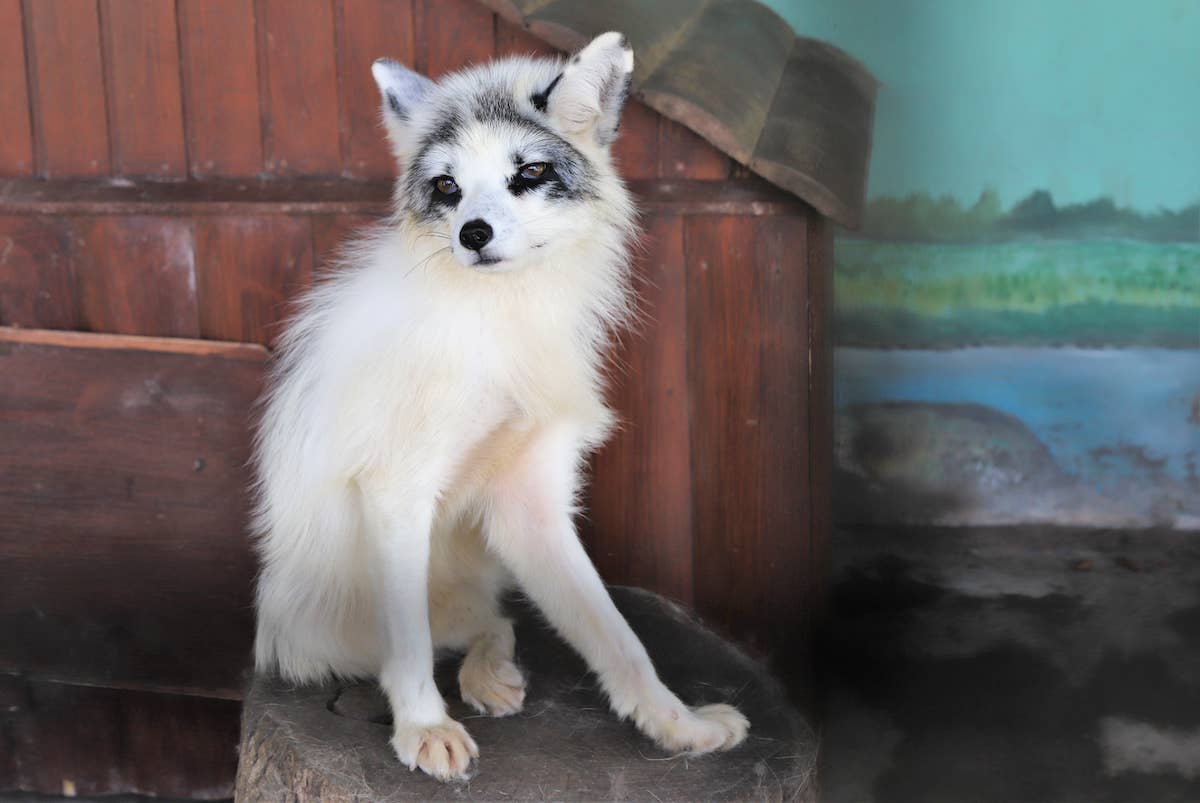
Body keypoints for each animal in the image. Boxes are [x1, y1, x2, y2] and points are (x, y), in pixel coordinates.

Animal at [250, 32, 749, 781]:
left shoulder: (531, 504)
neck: (498, 325)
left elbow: (619, 637)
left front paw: (676, 725)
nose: (473, 234)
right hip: (323, 629)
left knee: (494, 621)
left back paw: (491, 675)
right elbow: (410, 647)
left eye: (530, 172)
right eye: (447, 187)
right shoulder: (398, 489)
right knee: (420, 641)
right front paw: (424, 727)